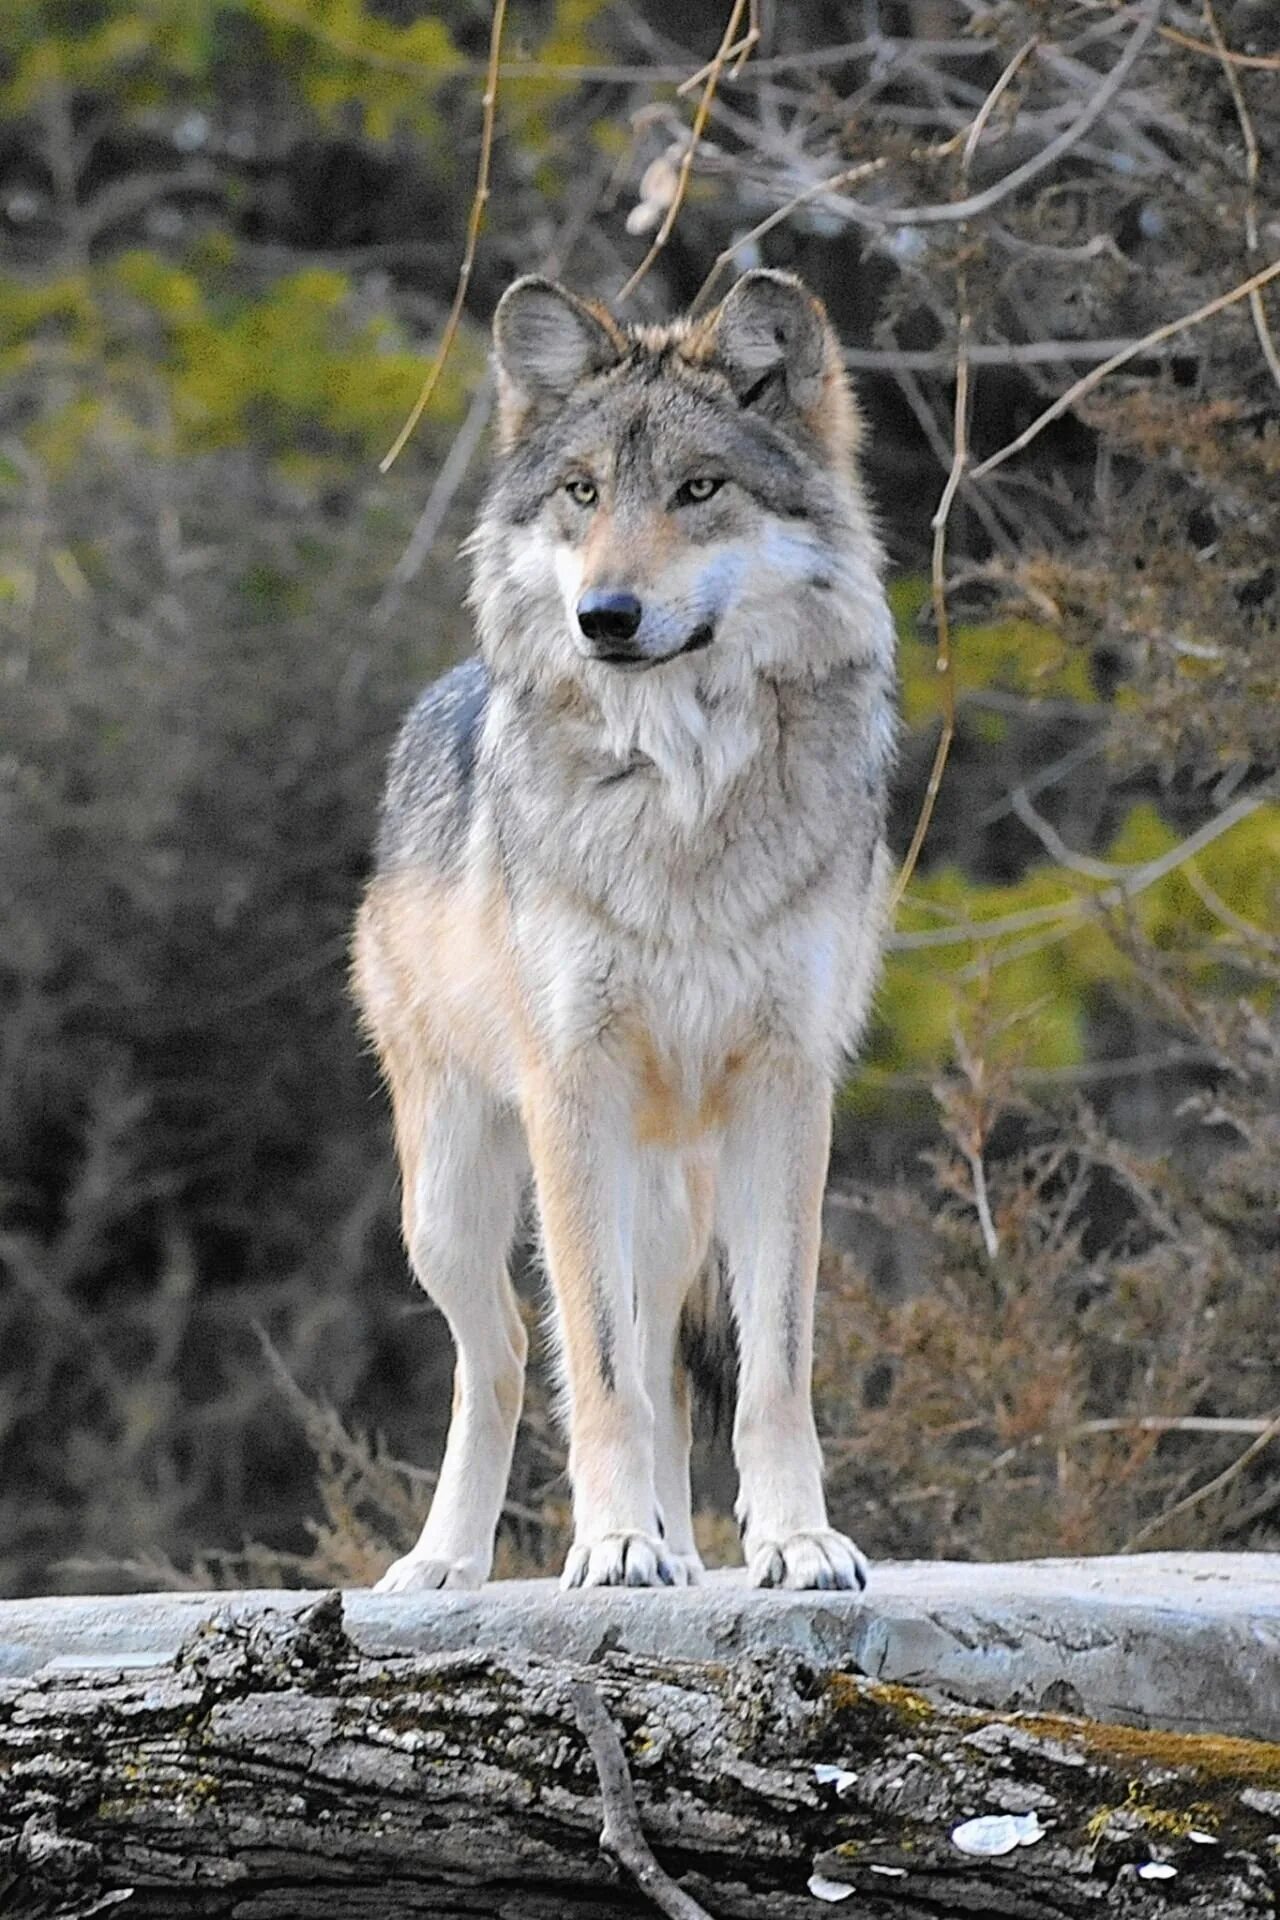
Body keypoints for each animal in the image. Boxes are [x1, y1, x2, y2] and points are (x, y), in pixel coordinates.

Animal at [351, 266, 890, 1589]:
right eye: (582, 492)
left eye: (698, 490)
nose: (604, 614)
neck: (679, 795)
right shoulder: (571, 1089)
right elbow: (588, 1365)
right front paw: (609, 1548)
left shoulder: (787, 1089)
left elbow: (771, 1367)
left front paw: (793, 1542)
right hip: (451, 1203)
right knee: (502, 1357)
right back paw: (449, 1563)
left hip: (668, 1199)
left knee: (657, 1367)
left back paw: (678, 1551)